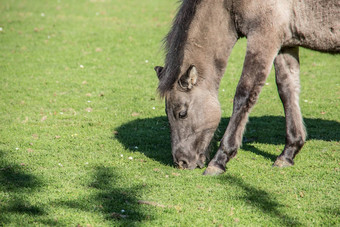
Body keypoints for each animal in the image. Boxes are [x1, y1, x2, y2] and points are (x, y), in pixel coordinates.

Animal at [155, 0, 340, 176]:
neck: (229, 4)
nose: (181, 162)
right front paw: (288, 153)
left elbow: (244, 94)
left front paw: (220, 160)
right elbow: (287, 90)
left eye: (182, 113)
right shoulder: (284, 42)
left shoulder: (263, 38)